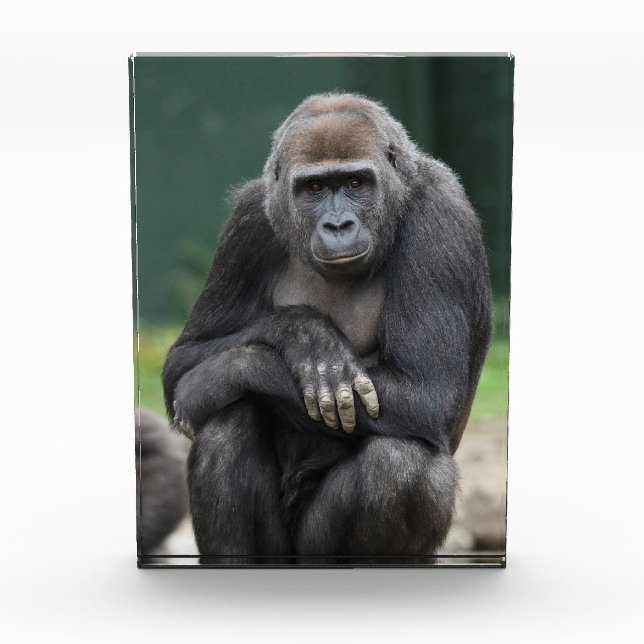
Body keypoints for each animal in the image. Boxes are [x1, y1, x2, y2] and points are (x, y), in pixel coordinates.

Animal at [162, 93, 492, 564]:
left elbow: (426, 391)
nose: (338, 226)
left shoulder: (440, 217)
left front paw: (226, 372)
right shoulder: (249, 218)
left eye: (355, 183)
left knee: (403, 465)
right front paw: (304, 335)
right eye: (315, 189)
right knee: (227, 422)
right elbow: (184, 360)